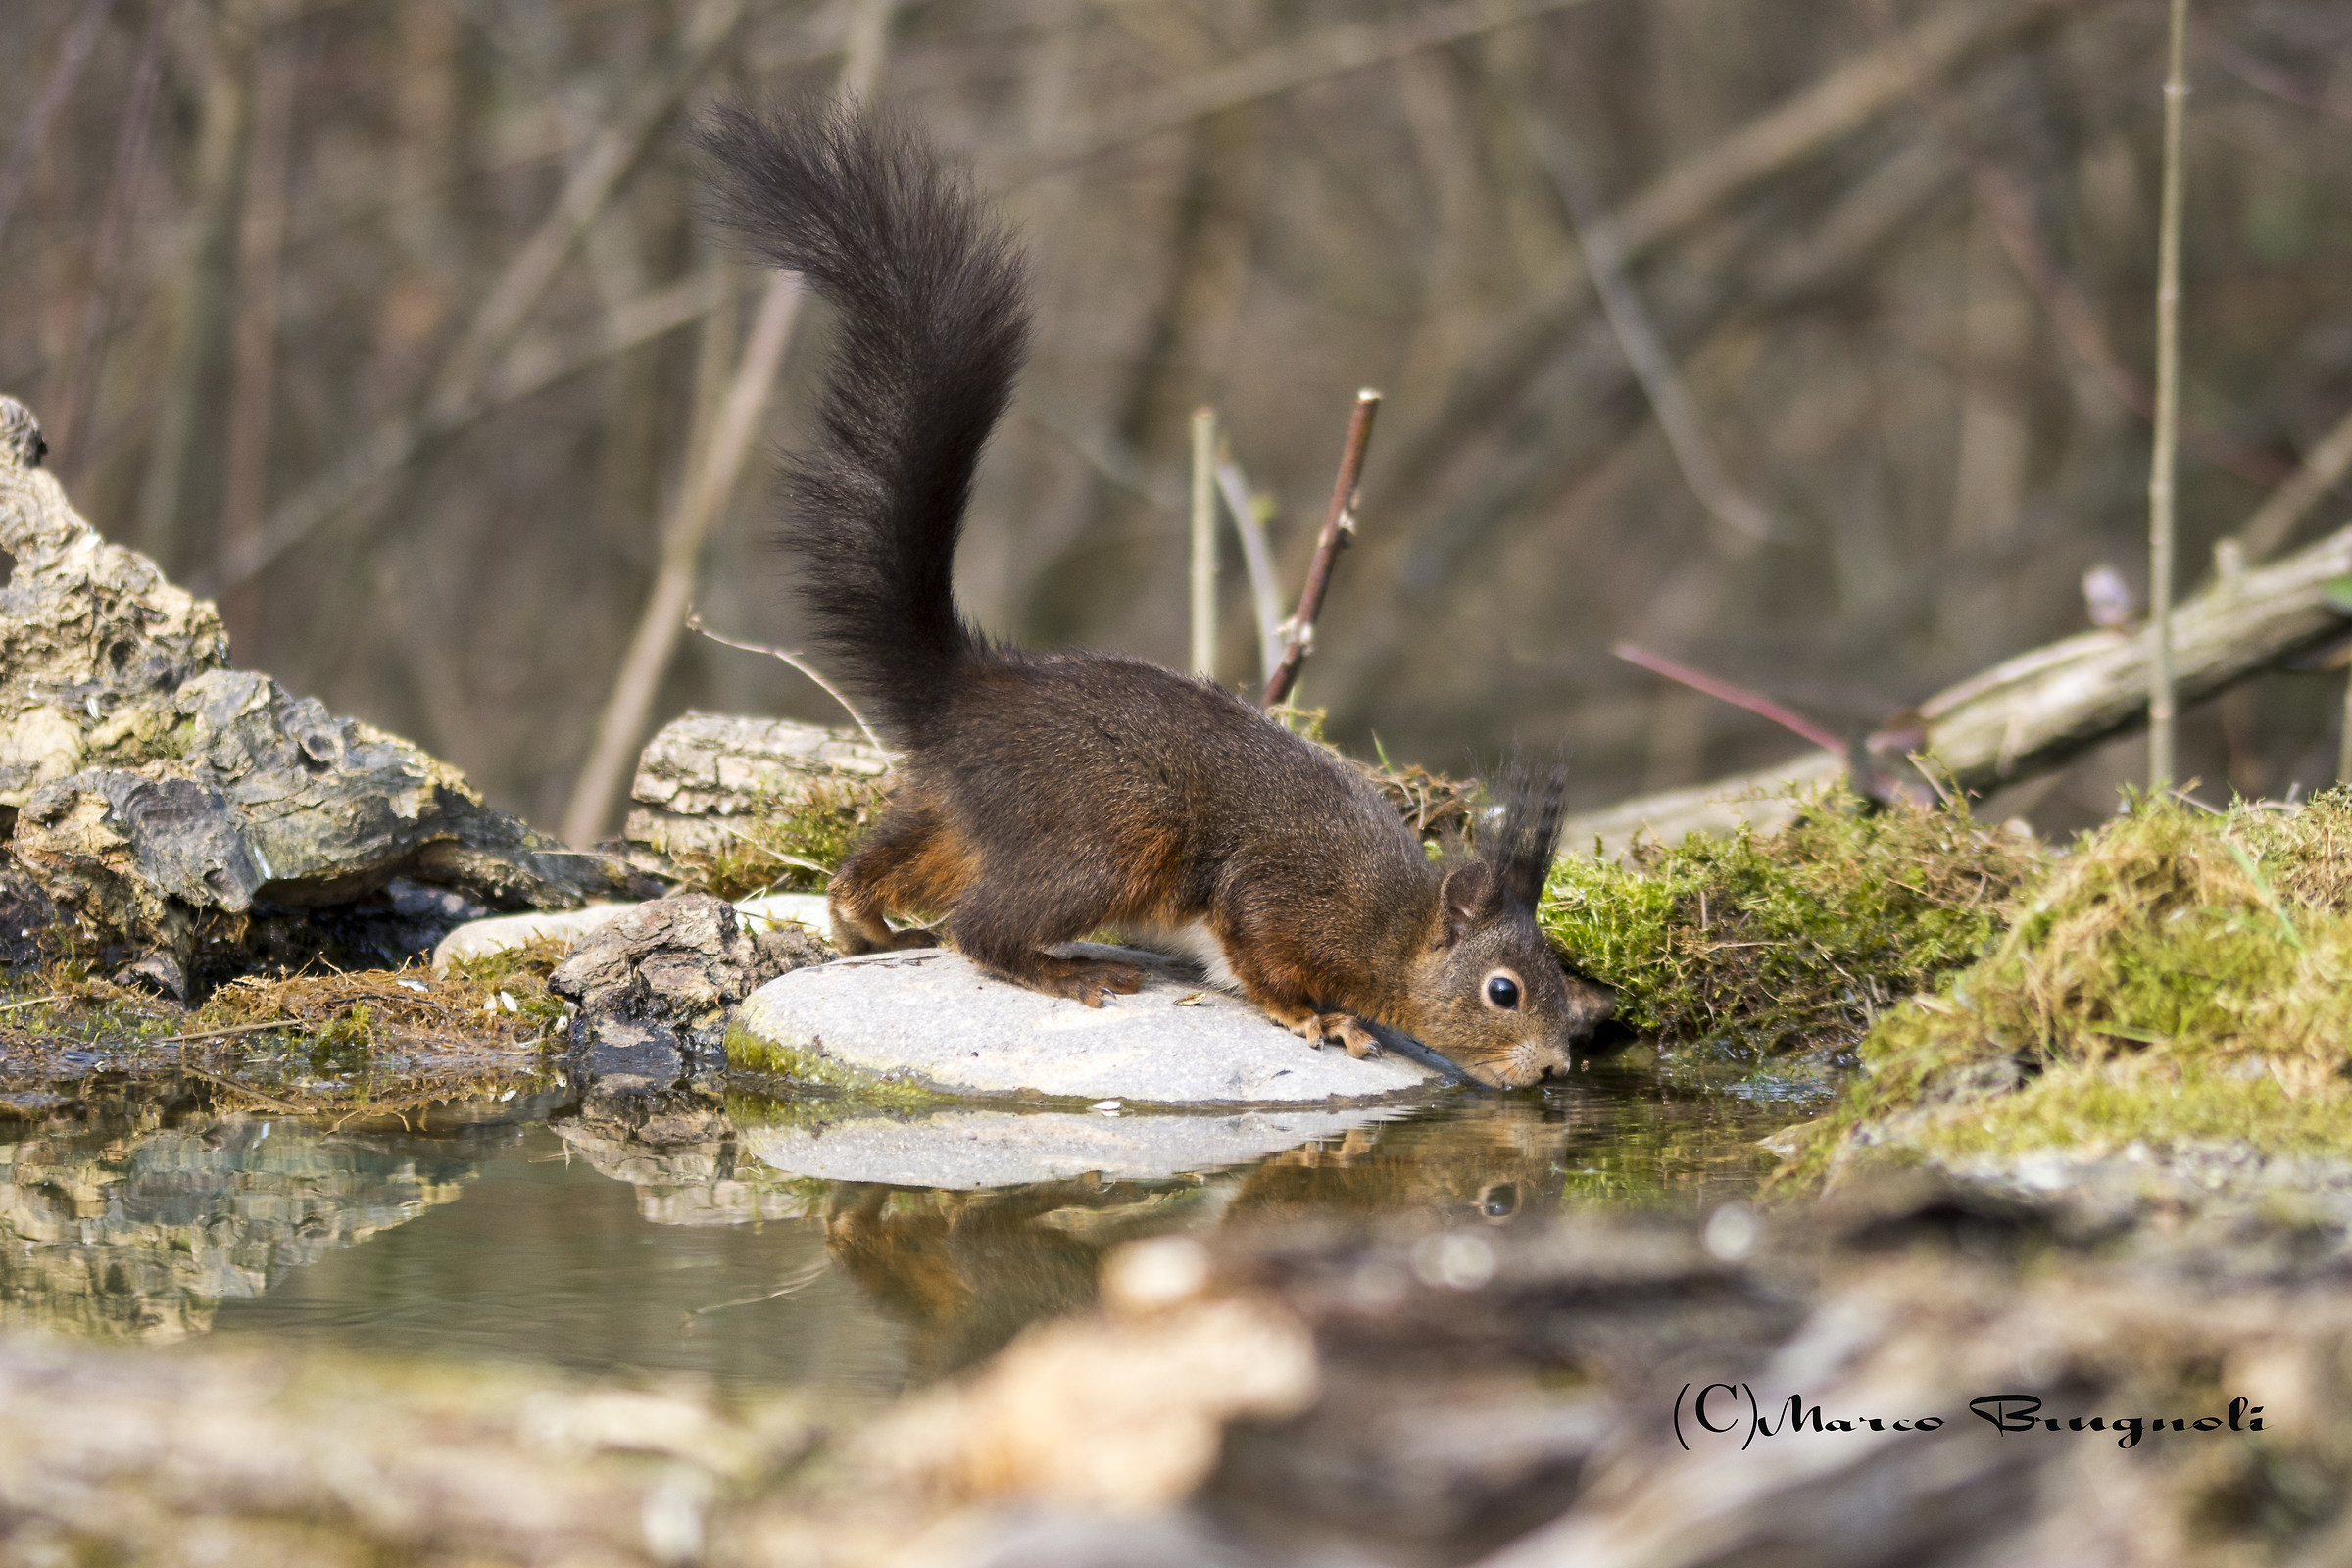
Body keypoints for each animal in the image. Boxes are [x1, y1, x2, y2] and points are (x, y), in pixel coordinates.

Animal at [695, 101, 1614, 1089]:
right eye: (1503, 991)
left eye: (1558, 977)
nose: (1556, 1069)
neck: (1390, 925)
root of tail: (967, 689)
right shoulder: (1279, 899)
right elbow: (1260, 960)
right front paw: (1321, 1018)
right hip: (1117, 832)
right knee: (980, 929)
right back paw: (1064, 974)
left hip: (964, 815)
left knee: (884, 865)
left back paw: (863, 921)